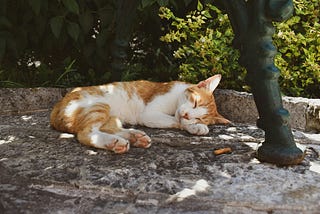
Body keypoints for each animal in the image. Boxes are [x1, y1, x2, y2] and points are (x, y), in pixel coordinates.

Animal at [50, 74, 230, 153]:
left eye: (200, 116)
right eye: (195, 102)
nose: (187, 115)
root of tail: (55, 108)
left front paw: (195, 125)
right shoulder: (150, 114)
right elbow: (175, 120)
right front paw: (193, 126)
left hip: (111, 116)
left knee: (108, 128)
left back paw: (135, 137)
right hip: (98, 106)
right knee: (86, 133)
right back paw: (114, 142)